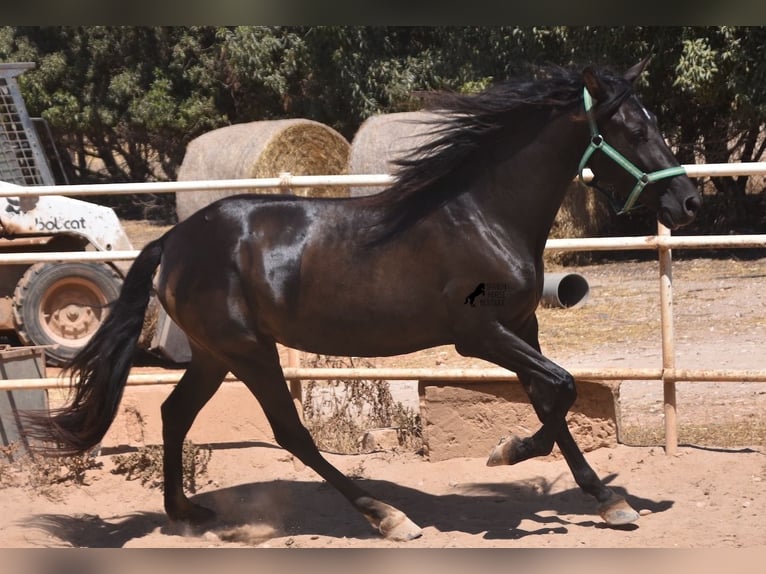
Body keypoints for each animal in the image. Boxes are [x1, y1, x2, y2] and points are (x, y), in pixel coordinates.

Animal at [25, 59, 704, 544]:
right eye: (634, 129)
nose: (690, 203)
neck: (481, 213)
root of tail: (174, 239)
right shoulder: (479, 336)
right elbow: (559, 389)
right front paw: (506, 454)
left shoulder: (523, 324)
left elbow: (552, 398)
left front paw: (609, 501)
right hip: (250, 352)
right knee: (289, 432)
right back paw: (388, 517)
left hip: (217, 354)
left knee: (174, 414)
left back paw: (185, 514)